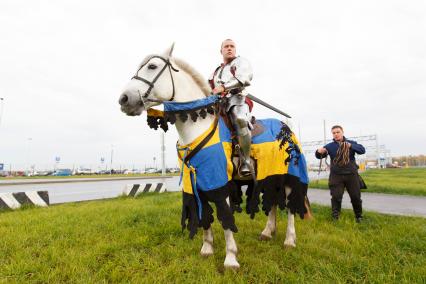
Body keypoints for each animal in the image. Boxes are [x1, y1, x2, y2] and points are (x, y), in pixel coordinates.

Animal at [118, 43, 312, 268]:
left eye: (152, 66)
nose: (124, 99)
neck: (197, 125)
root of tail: (286, 128)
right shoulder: (195, 180)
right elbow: (203, 216)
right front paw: (207, 248)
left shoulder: (219, 181)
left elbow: (225, 218)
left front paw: (230, 258)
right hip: (269, 175)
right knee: (272, 202)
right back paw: (267, 232)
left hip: (290, 175)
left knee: (289, 207)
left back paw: (289, 240)